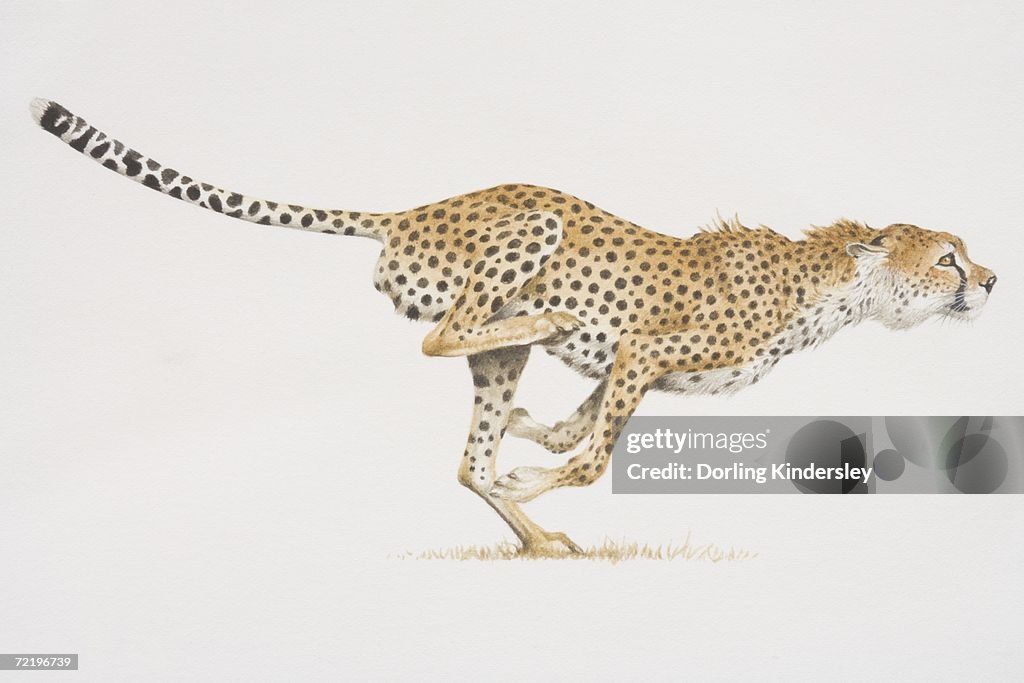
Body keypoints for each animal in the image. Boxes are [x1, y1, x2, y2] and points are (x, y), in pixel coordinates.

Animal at [31, 98, 997, 555]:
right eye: (947, 257)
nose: (990, 280)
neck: (832, 287)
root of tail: (413, 210)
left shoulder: (633, 366)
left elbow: (575, 431)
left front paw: (533, 453)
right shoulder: (645, 350)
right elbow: (591, 456)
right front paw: (537, 473)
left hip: (502, 354)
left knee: (467, 455)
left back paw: (535, 538)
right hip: (533, 225)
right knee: (440, 338)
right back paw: (551, 315)